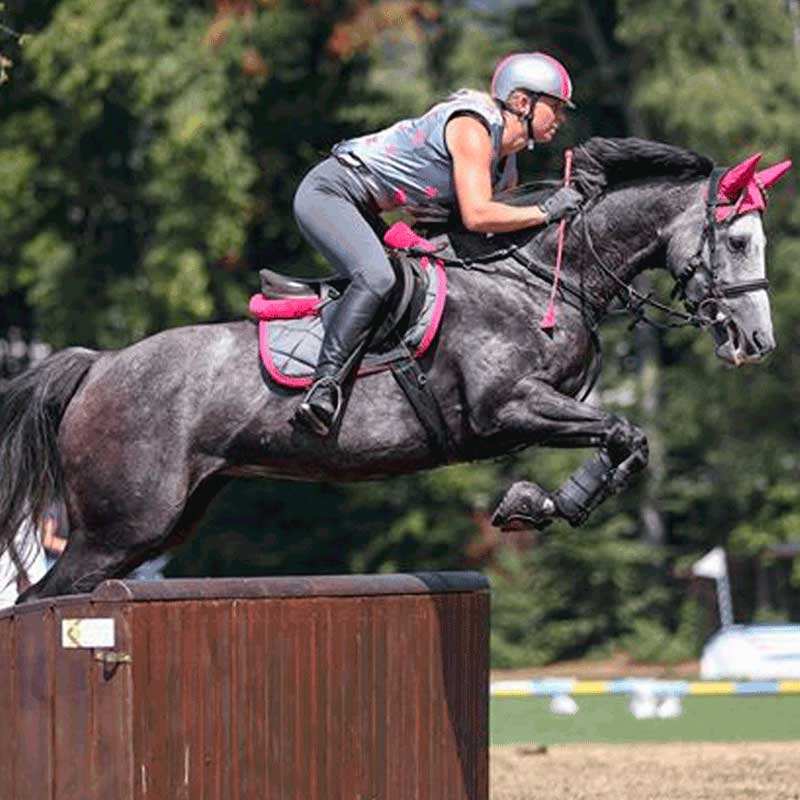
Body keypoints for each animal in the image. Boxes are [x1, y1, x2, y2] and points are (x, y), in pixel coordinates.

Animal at [0, 138, 788, 600]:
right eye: (739, 240)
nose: (756, 342)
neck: (541, 276)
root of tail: (100, 365)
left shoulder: (536, 413)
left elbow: (629, 441)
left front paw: (539, 503)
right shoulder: (507, 408)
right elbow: (623, 430)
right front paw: (537, 503)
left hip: (161, 524)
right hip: (117, 528)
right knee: (39, 602)